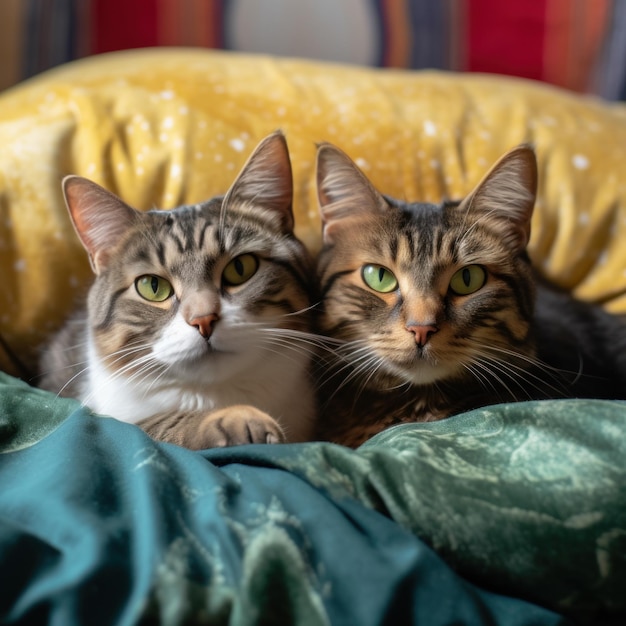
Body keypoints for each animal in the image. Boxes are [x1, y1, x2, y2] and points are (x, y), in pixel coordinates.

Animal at [37, 129, 316, 446]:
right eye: (152, 286)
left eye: (240, 268)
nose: (203, 319)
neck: (215, 395)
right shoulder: (103, 417)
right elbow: (150, 424)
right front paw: (236, 419)